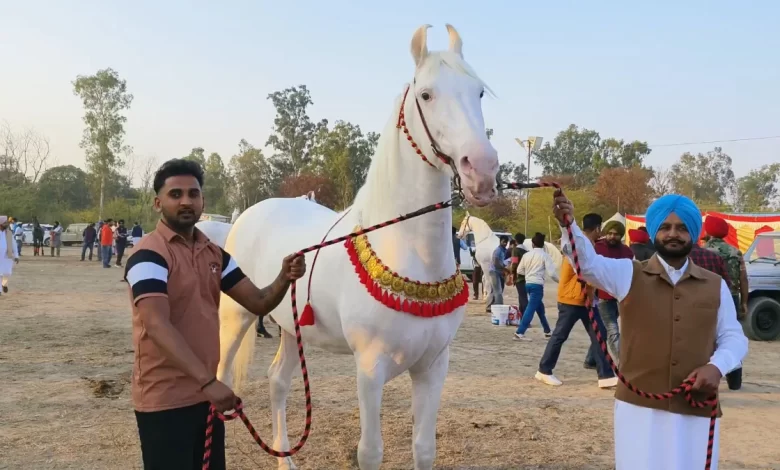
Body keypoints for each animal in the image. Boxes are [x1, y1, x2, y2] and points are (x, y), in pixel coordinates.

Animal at [213, 25, 496, 470]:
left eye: (479, 91)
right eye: (426, 95)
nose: (481, 170)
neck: (409, 254)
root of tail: (247, 214)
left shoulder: (433, 367)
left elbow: (424, 448)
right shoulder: (370, 368)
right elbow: (370, 452)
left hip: (291, 328)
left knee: (278, 383)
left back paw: (285, 459)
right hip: (235, 317)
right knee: (222, 382)